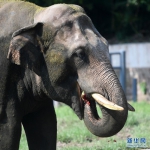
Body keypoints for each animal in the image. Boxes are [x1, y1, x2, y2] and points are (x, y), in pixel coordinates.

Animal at [0, 0, 135, 149]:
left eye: (107, 46)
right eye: (79, 54)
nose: (87, 98)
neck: (35, 15)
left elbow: (45, 127)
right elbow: (8, 131)